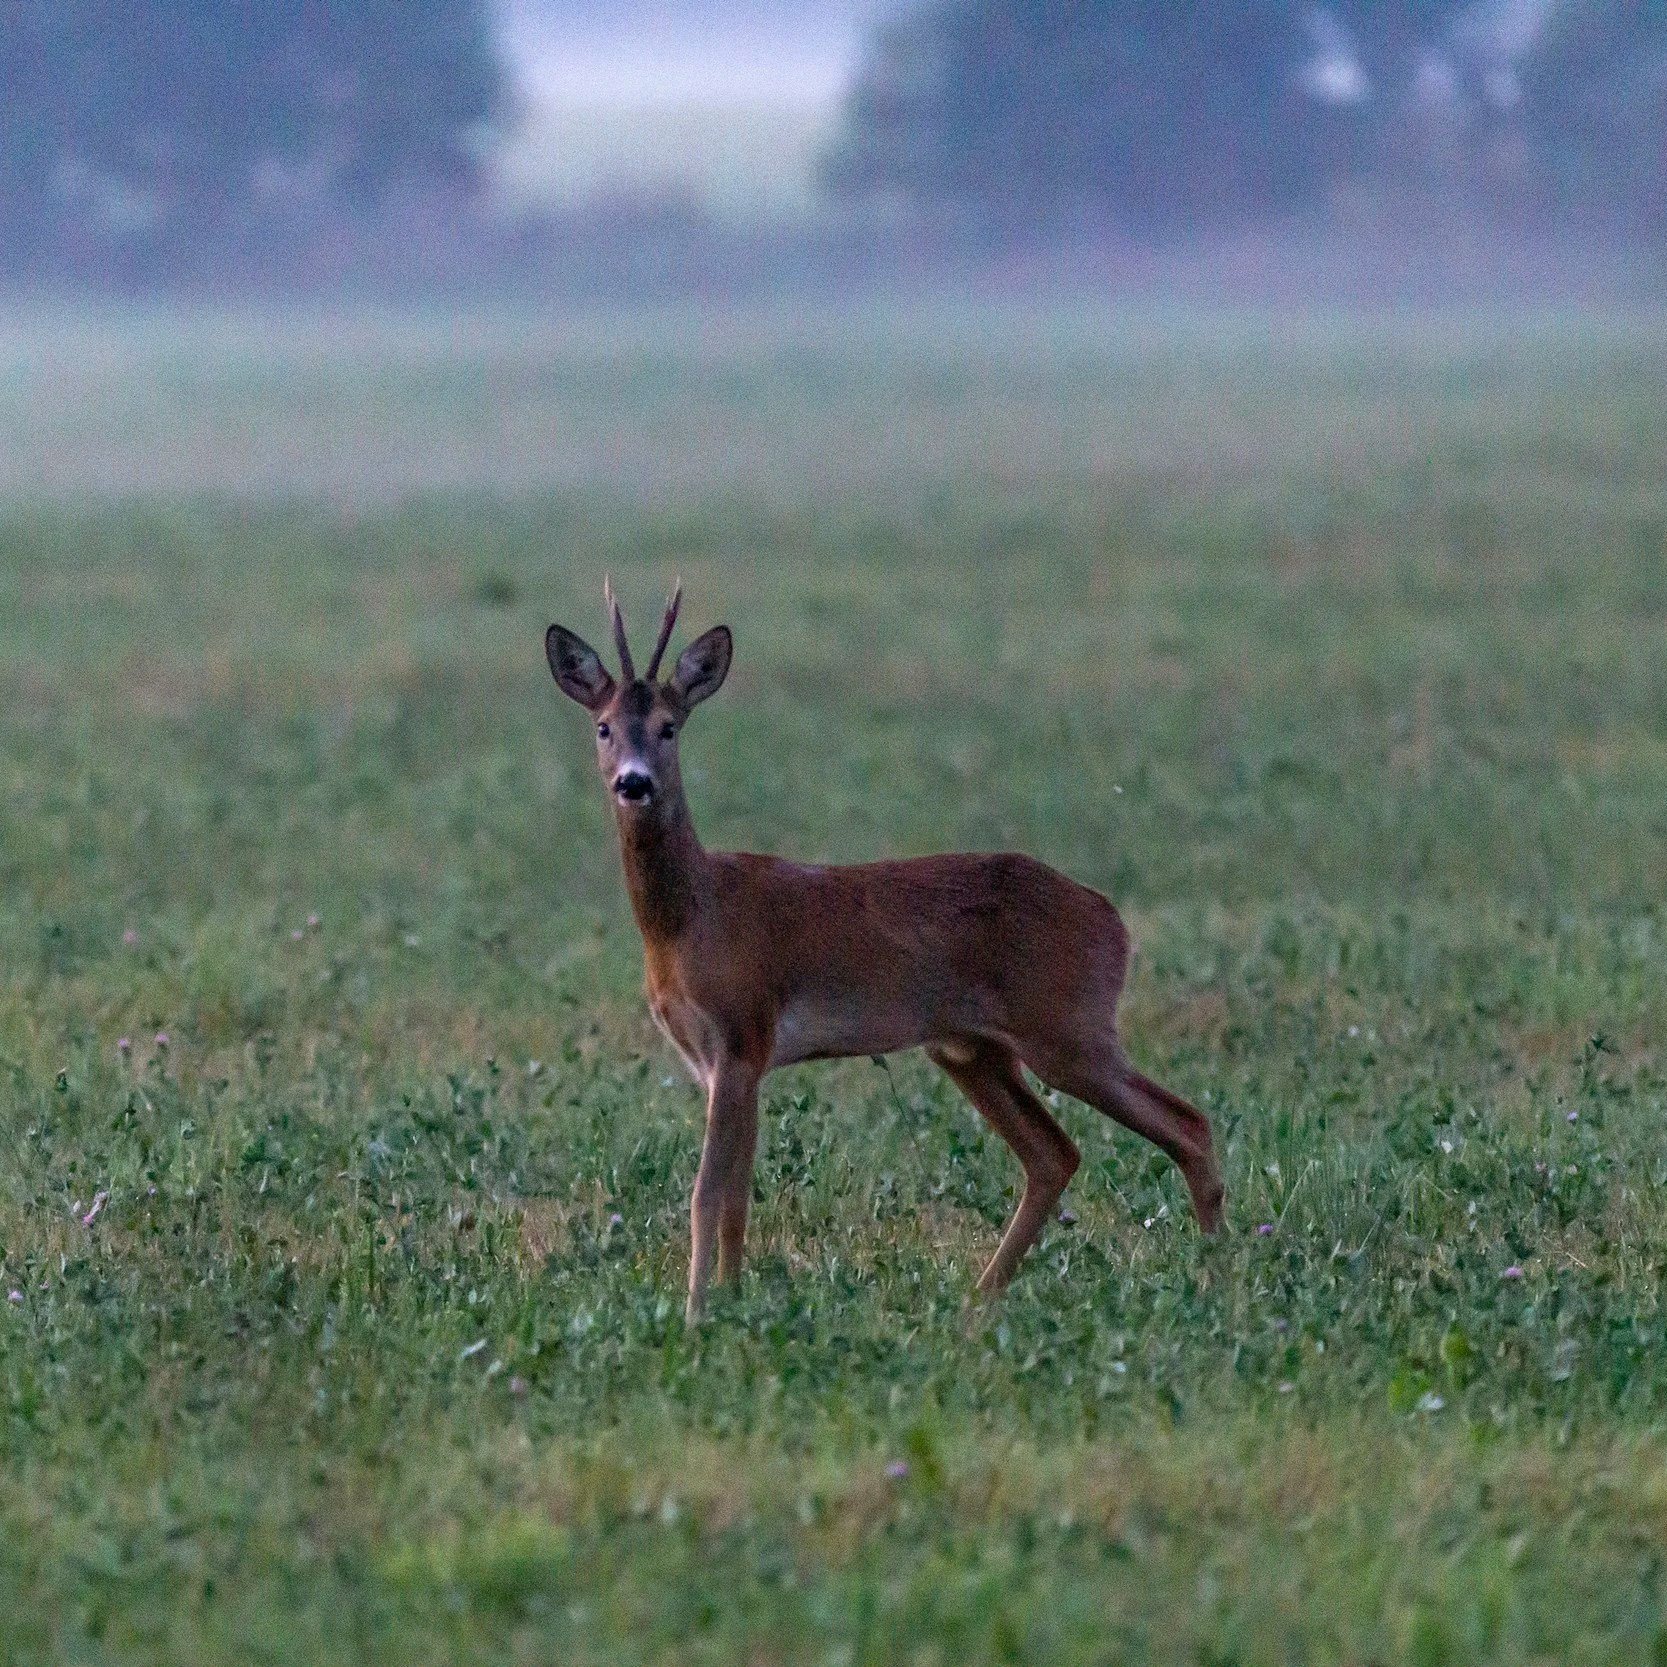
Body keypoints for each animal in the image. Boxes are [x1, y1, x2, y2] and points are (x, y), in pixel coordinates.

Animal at [546, 581, 1225, 1321]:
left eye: (670, 726)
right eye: (603, 726)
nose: (634, 782)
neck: (691, 918)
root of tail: (1114, 922)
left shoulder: (742, 1032)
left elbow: (706, 1194)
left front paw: (699, 1311)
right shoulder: (725, 1060)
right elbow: (735, 1198)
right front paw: (731, 1298)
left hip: (1068, 1028)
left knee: (1187, 1123)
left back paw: (1219, 1274)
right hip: (972, 1049)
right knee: (1055, 1154)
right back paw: (979, 1298)